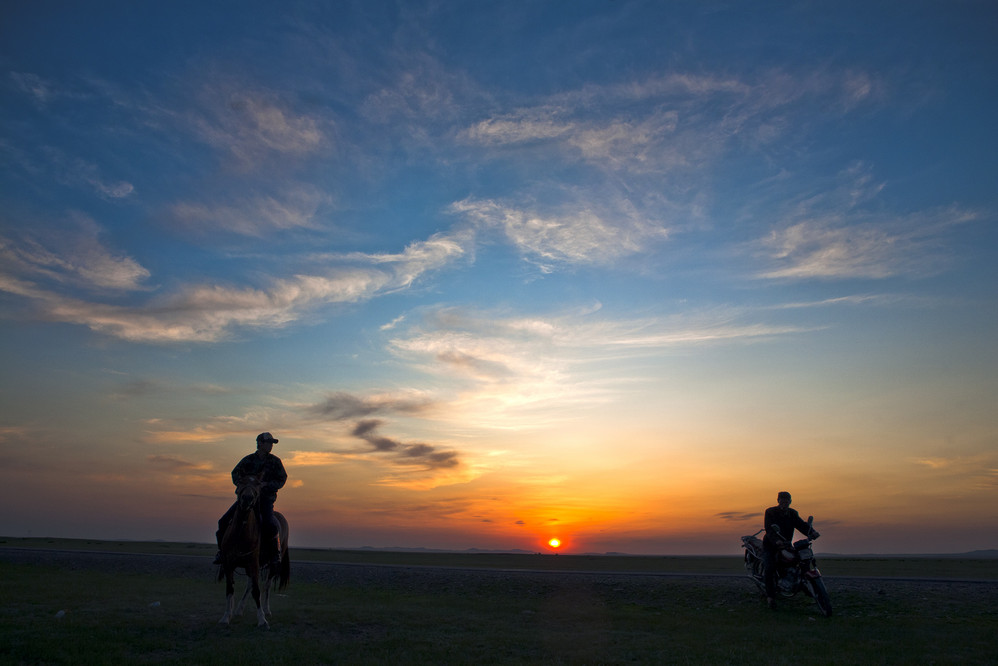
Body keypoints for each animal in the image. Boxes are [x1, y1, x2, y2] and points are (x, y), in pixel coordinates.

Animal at [214, 474, 288, 624]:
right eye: (241, 482)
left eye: (259, 484)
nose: (247, 498)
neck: (240, 533)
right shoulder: (229, 563)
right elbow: (230, 588)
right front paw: (226, 616)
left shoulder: (253, 562)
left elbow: (257, 591)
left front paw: (262, 620)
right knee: (250, 585)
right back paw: (239, 609)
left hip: (272, 565)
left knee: (266, 586)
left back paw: (267, 610)